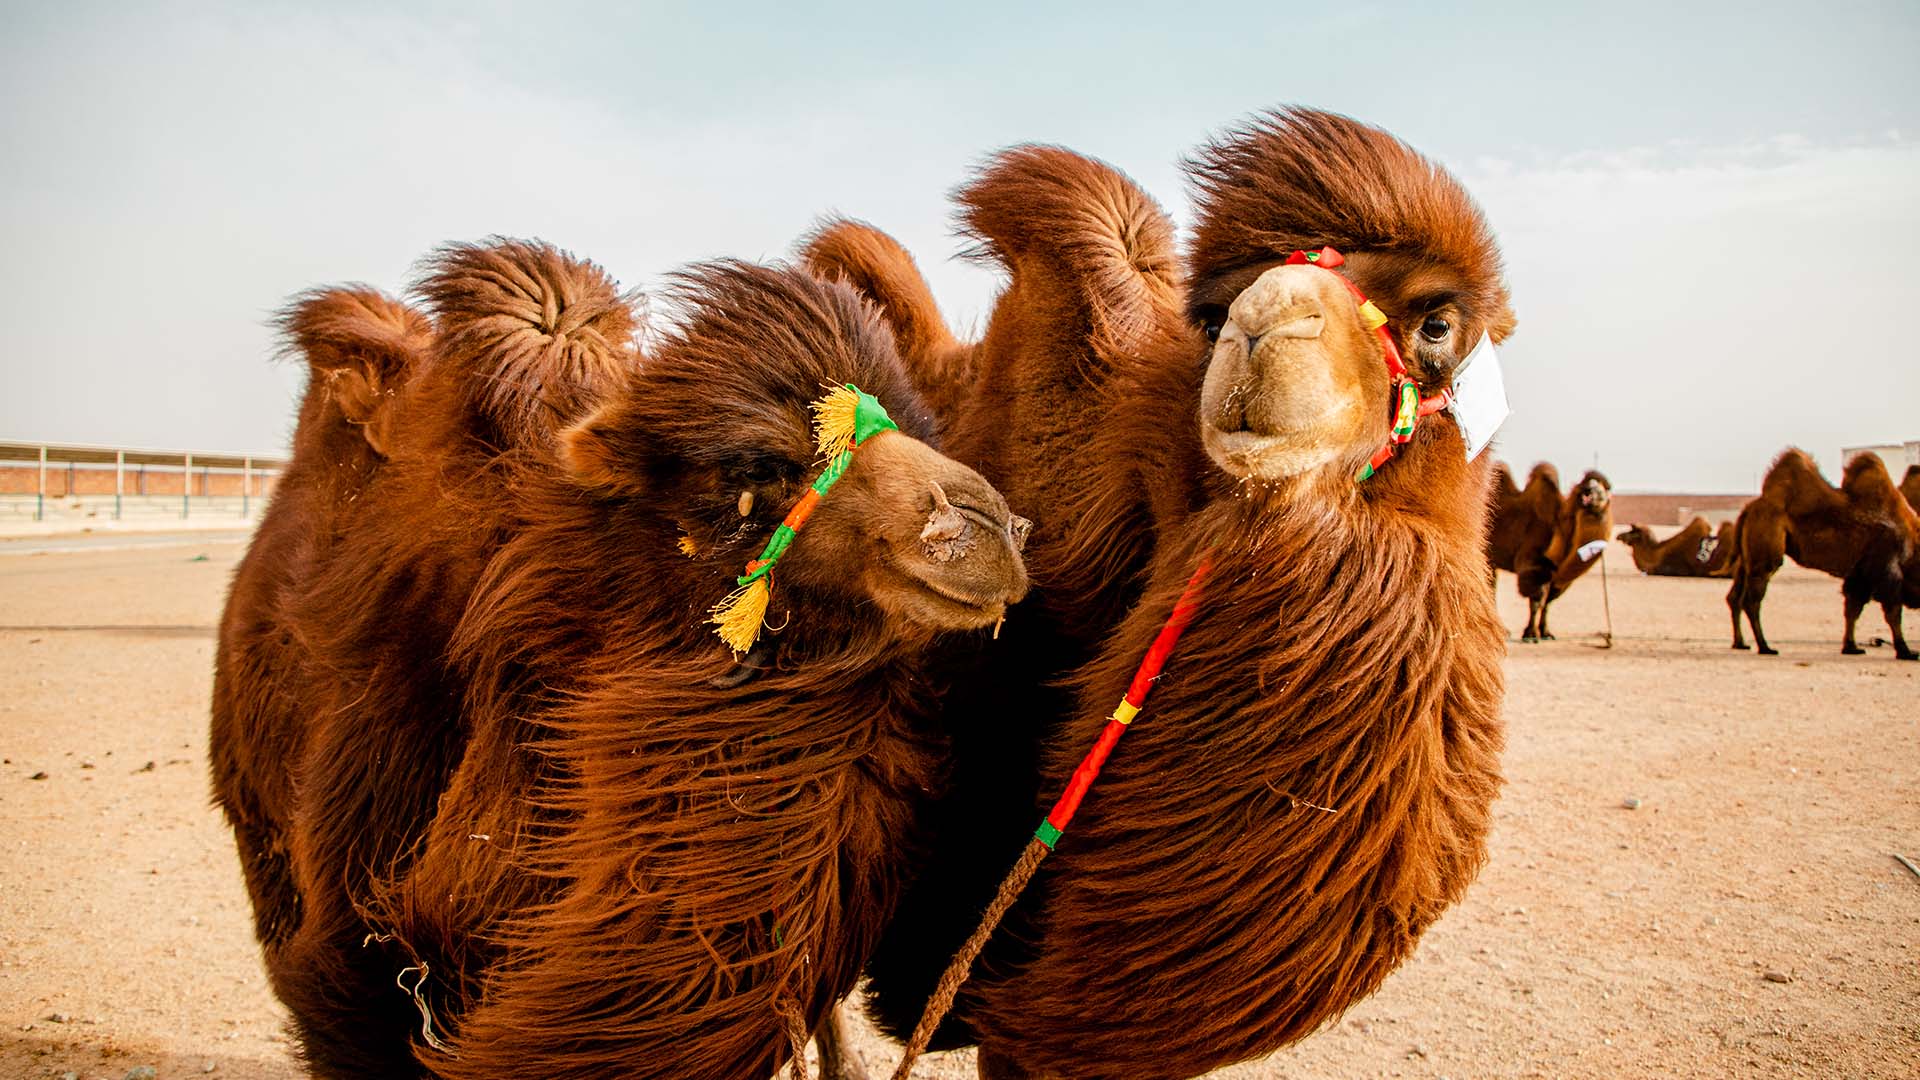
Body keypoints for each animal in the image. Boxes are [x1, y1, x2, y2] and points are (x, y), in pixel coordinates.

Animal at [1486, 463, 1612, 640]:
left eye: (1603, 490)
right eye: (1586, 485)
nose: (1589, 490)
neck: (1560, 527)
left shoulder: (1556, 575)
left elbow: (1548, 602)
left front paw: (1545, 632)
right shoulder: (1533, 563)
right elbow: (1536, 599)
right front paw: (1531, 634)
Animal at [1725, 448, 1918, 660]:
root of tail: (1748, 509)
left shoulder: (1859, 574)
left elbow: (1852, 609)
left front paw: (1851, 647)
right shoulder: (1885, 567)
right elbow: (1892, 612)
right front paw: (1906, 651)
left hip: (1746, 558)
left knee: (1734, 596)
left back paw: (1740, 643)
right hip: (1764, 549)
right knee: (1752, 599)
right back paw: (1765, 647)